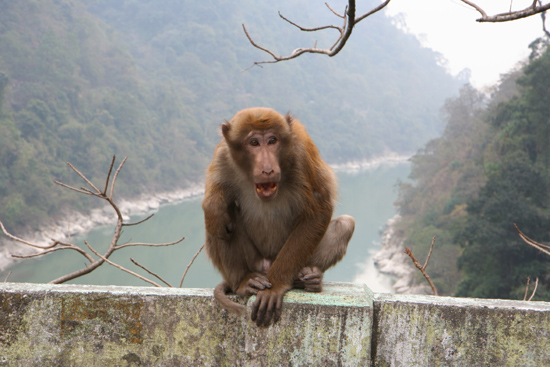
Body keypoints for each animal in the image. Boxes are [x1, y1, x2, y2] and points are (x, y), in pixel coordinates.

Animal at [205, 107, 356, 328]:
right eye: (254, 143)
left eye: (272, 140)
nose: (267, 168)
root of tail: (267, 266)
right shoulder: (223, 155)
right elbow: (213, 203)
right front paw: (213, 207)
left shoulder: (302, 153)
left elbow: (319, 209)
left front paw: (275, 287)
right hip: (255, 262)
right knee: (219, 223)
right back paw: (243, 281)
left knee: (345, 224)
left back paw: (308, 277)